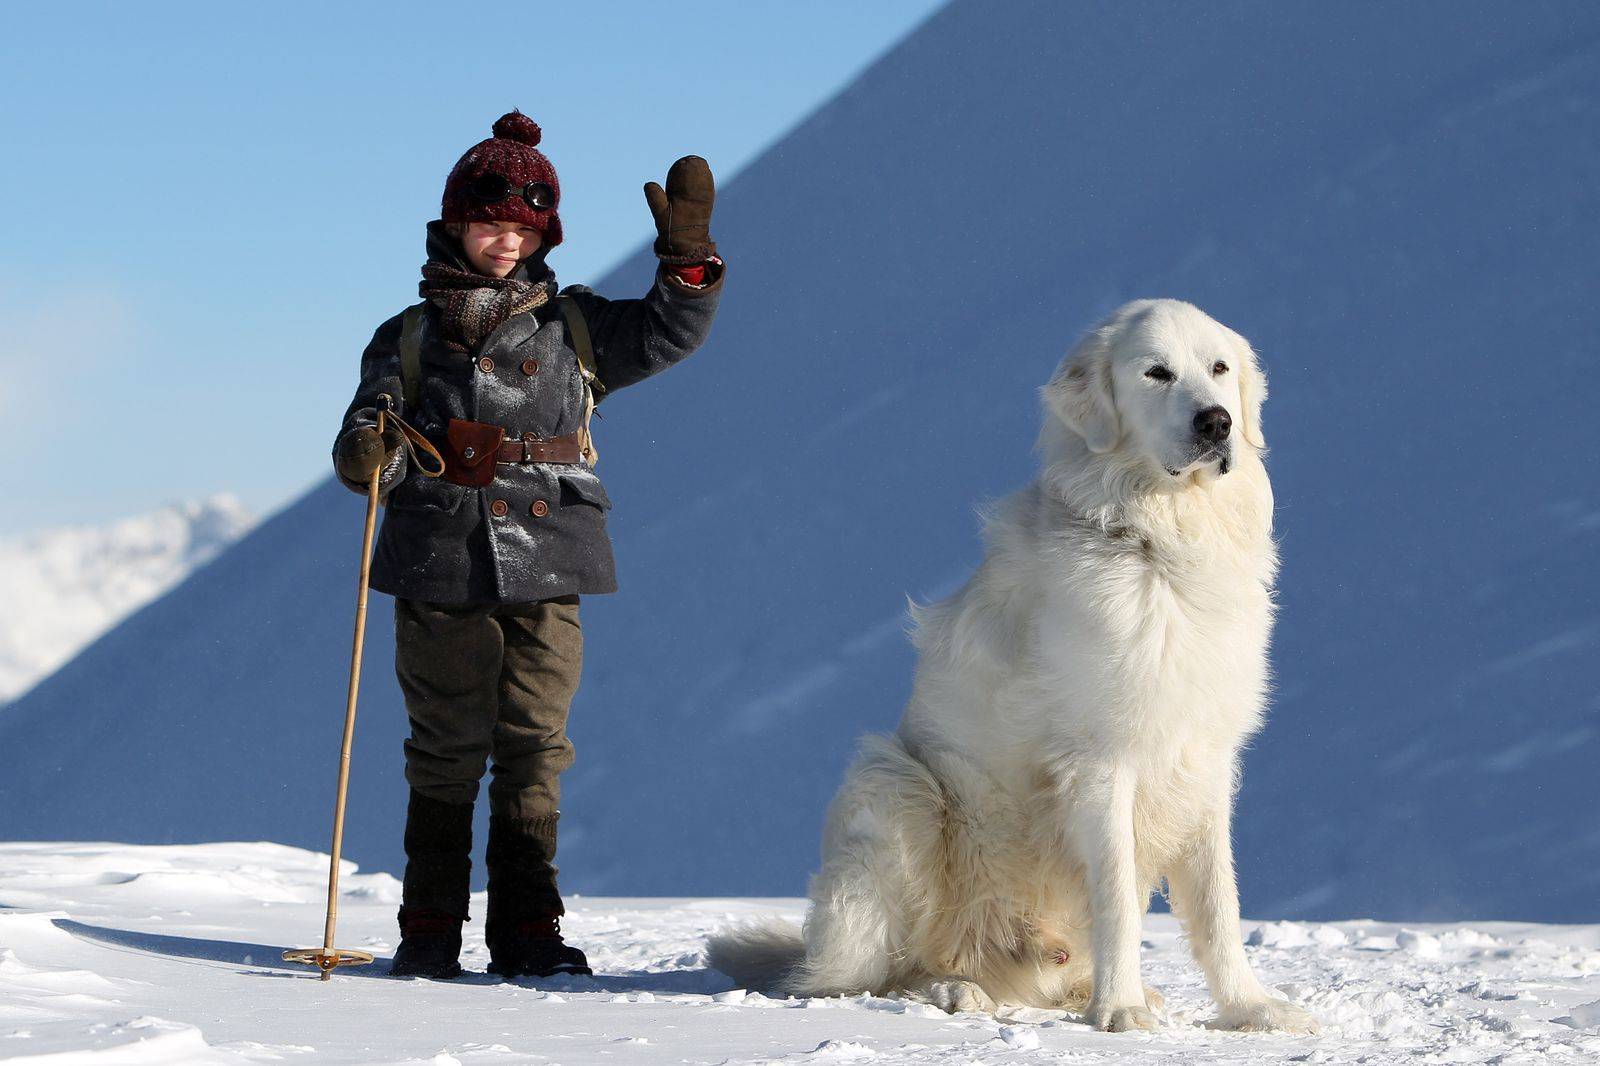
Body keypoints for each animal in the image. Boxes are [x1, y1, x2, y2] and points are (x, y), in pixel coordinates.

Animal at [710, 299, 1312, 1030]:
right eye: (1157, 373)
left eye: (1219, 369)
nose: (1218, 422)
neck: (1156, 540)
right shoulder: (1101, 761)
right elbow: (1116, 897)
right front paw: (1119, 1011)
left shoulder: (1204, 759)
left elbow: (1220, 906)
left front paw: (1251, 1009)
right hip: (897, 788)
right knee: (876, 976)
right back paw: (956, 989)